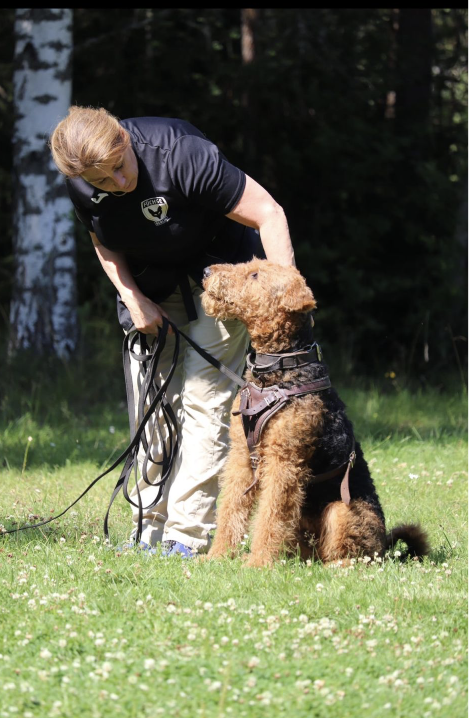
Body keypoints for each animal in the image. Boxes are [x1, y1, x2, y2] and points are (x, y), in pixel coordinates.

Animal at [201, 258, 429, 568]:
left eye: (255, 274)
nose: (206, 272)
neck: (277, 372)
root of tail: (386, 546)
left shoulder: (283, 461)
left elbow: (270, 515)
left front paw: (258, 563)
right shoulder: (241, 456)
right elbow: (230, 506)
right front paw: (217, 556)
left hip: (342, 510)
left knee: (354, 556)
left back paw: (335, 566)